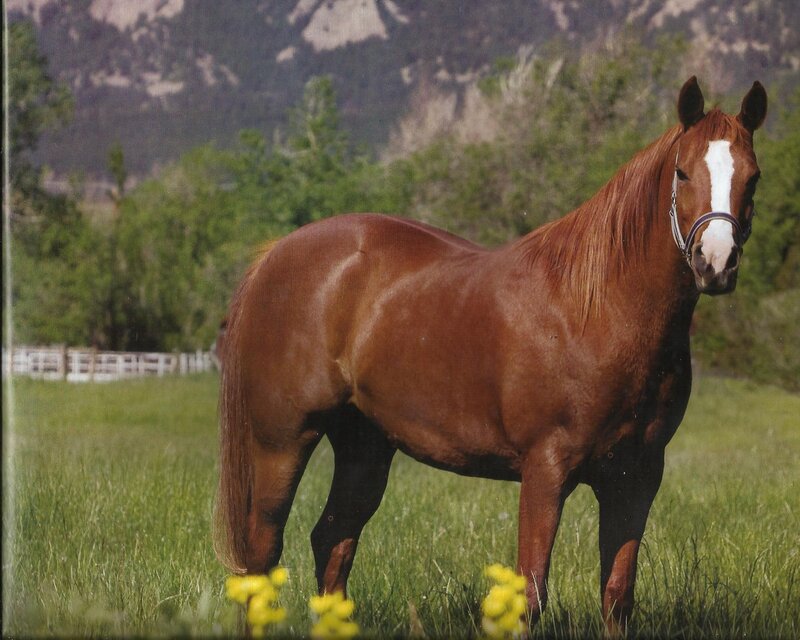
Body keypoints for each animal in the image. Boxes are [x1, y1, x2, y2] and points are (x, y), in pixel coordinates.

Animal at [214, 77, 767, 633]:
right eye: (682, 172)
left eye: (754, 178)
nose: (716, 263)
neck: (598, 310)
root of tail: (276, 255)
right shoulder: (546, 470)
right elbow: (530, 595)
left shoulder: (636, 477)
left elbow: (617, 596)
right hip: (282, 440)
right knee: (261, 554)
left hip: (364, 445)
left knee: (332, 540)